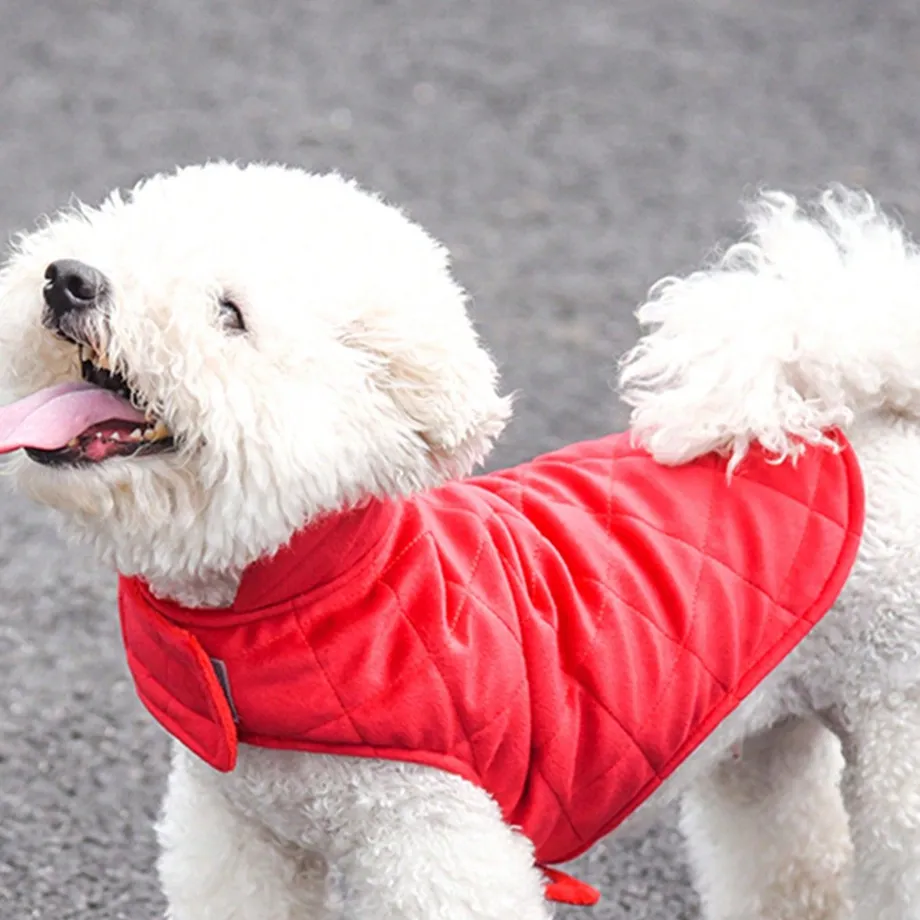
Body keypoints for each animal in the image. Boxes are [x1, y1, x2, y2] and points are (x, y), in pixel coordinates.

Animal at [0, 162, 916, 920]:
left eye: (229, 314)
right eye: (120, 227)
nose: (69, 279)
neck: (297, 598)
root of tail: (863, 425)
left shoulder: (433, 839)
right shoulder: (239, 832)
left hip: (898, 740)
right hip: (766, 736)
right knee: (793, 860)